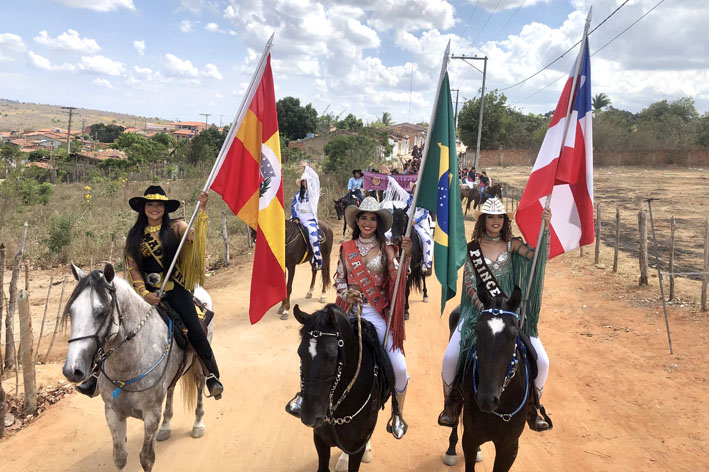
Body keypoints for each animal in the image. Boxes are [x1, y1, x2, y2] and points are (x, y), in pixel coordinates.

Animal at [63, 264, 210, 470]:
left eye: (101, 312)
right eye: (71, 312)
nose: (72, 369)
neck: (128, 366)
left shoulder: (151, 414)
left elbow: (146, 458)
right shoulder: (112, 413)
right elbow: (120, 457)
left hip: (198, 363)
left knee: (199, 384)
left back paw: (198, 423)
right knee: (171, 388)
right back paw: (166, 426)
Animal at [446, 282, 532, 470]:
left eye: (514, 335)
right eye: (477, 331)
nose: (486, 399)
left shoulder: (509, 447)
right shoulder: (470, 439)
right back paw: (450, 450)